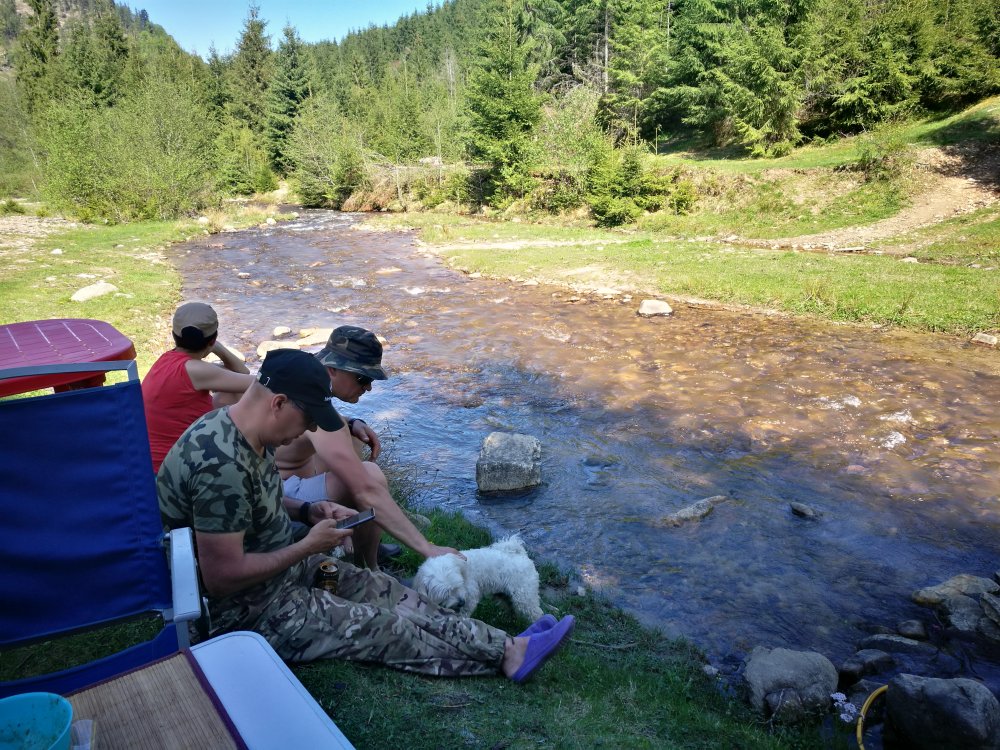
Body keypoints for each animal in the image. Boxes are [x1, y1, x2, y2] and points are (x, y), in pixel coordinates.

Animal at [413, 535, 544, 620]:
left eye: (459, 585)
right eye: (446, 593)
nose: (461, 602)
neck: (461, 568)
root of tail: (521, 555)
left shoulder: (470, 596)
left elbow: (464, 613)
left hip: (524, 597)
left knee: (536, 613)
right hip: (505, 595)